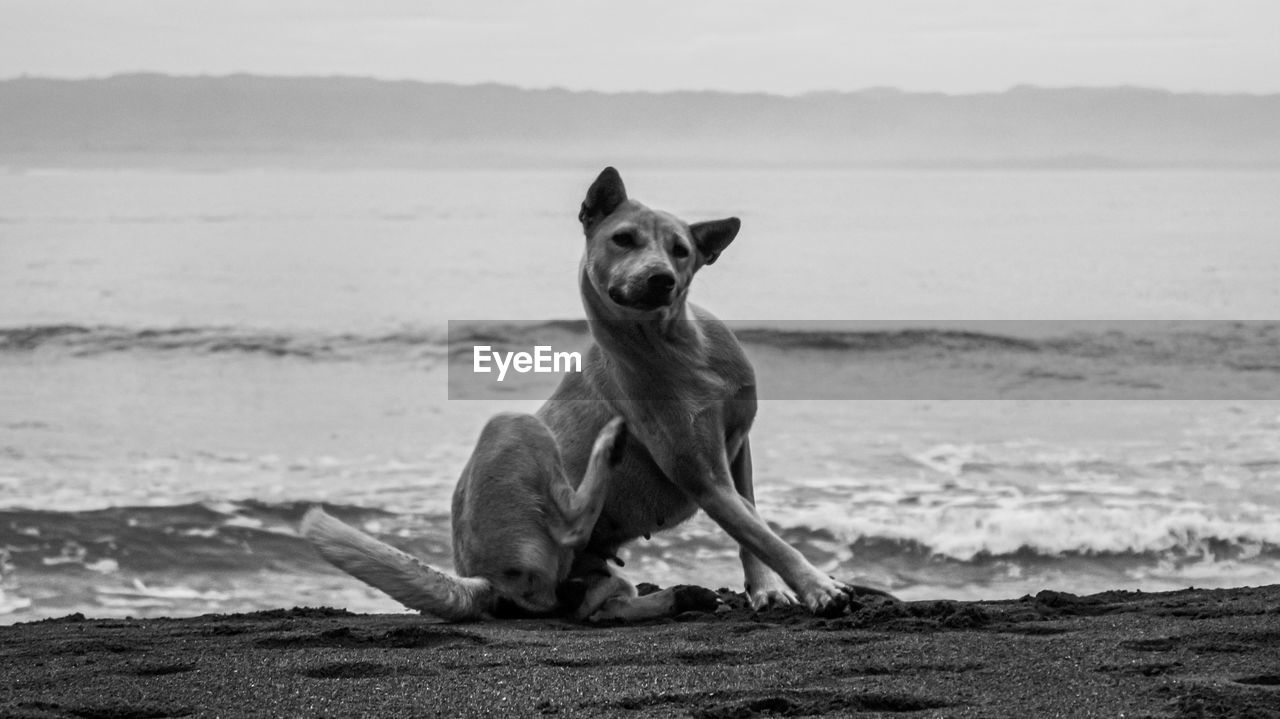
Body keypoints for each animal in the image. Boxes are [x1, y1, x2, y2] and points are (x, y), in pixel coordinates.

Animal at [300, 166, 860, 616]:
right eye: (624, 238)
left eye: (681, 251)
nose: (661, 278)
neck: (678, 346)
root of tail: (479, 577)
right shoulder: (703, 476)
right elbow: (763, 533)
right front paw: (818, 587)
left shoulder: (737, 448)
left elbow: (755, 527)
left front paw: (768, 590)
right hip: (514, 426)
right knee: (568, 529)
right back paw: (607, 449)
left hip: (592, 570)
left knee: (592, 608)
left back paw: (677, 597)